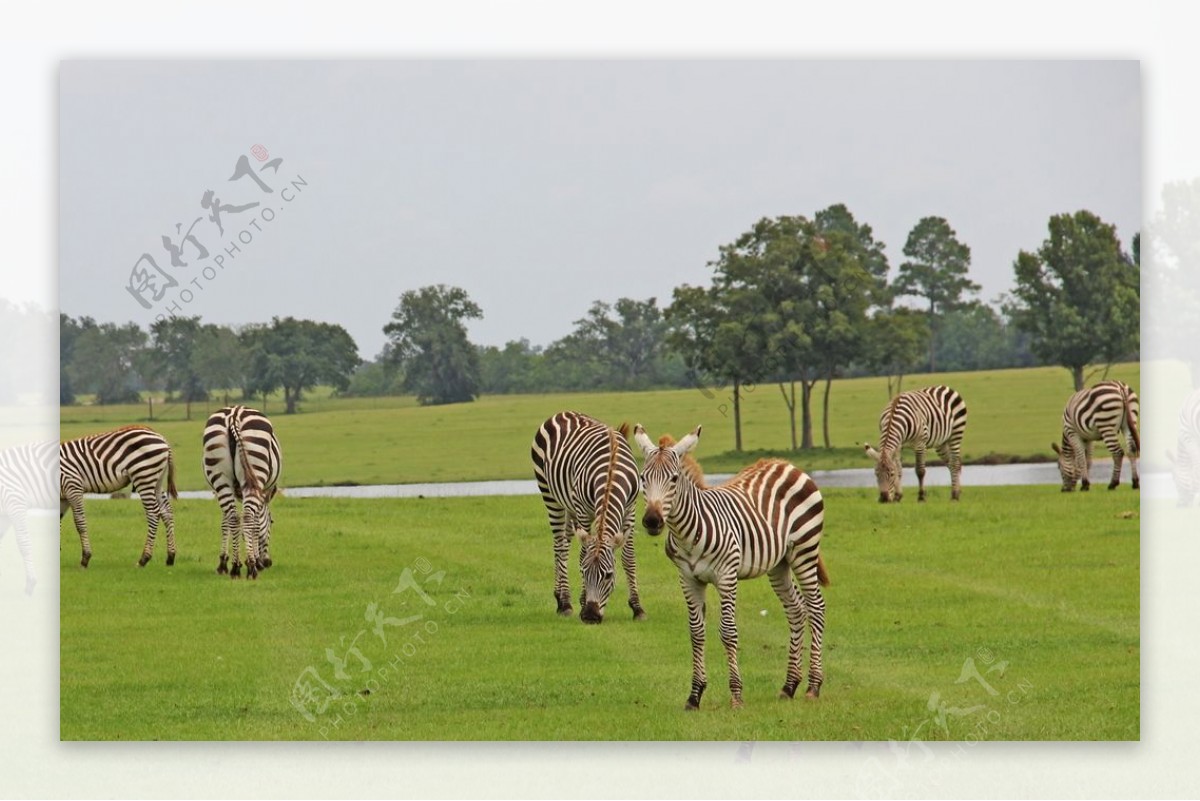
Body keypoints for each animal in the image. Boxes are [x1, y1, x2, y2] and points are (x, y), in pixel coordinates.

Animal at [57, 424, 177, 568]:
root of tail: (161, 438)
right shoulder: (63, 496)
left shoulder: (72, 486)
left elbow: (79, 522)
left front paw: (85, 559)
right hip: (157, 480)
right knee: (166, 512)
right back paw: (170, 557)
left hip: (143, 475)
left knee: (153, 513)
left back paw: (144, 559)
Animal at [206, 402, 283, 577]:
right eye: (272, 522)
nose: (268, 562)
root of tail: (235, 413)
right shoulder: (262, 492)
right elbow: (256, 524)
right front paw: (254, 560)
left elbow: (225, 523)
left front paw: (224, 561)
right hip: (256, 470)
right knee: (247, 517)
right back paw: (252, 569)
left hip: (220, 478)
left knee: (234, 517)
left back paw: (235, 568)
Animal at [530, 410, 643, 623]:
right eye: (583, 573)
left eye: (608, 575)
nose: (590, 616)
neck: (611, 472)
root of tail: (562, 413)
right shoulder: (583, 511)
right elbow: (582, 554)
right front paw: (581, 602)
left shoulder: (630, 509)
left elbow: (629, 558)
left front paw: (637, 608)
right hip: (550, 495)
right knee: (560, 547)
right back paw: (565, 603)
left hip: (569, 506)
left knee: (564, 543)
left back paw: (559, 597)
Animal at [638, 422, 825, 709]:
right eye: (642, 478)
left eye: (674, 479)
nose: (652, 520)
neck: (689, 534)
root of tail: (786, 464)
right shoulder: (688, 578)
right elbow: (696, 633)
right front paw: (695, 695)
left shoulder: (726, 576)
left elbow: (727, 632)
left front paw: (736, 695)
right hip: (779, 563)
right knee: (796, 610)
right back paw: (789, 685)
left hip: (805, 550)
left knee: (816, 608)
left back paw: (814, 686)